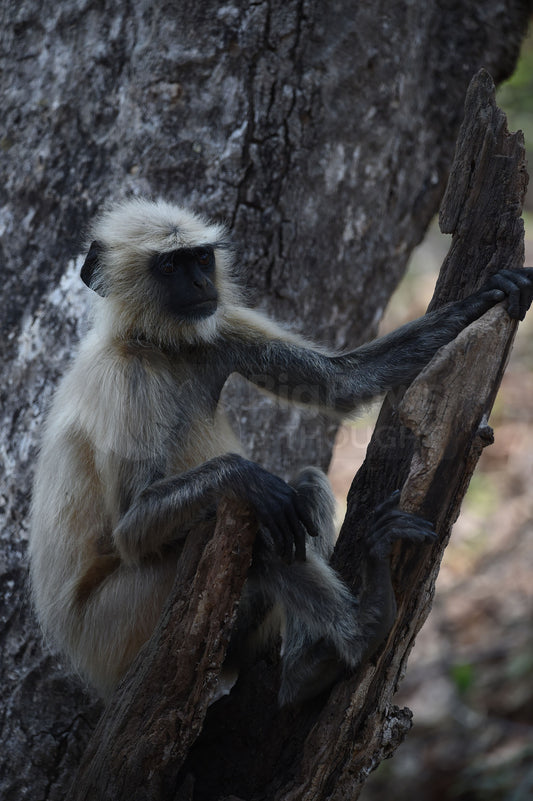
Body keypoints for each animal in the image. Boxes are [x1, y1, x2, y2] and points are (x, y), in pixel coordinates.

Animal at [28, 197, 532, 704]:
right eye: (169, 266)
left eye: (201, 259)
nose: (201, 284)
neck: (155, 345)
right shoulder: (125, 382)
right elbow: (130, 530)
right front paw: (247, 476)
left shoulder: (220, 322)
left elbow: (342, 383)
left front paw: (490, 294)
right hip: (121, 628)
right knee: (262, 524)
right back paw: (361, 629)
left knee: (302, 492)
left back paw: (305, 668)